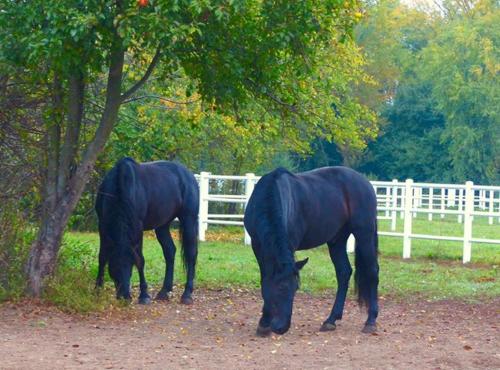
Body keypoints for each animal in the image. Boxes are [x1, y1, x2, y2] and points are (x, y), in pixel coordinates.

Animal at [94, 158, 198, 304]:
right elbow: (102, 257)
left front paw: (144, 295)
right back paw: (164, 291)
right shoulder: (103, 225)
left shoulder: (138, 228)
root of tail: (188, 175)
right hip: (162, 226)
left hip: (189, 220)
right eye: (113, 268)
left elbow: (140, 260)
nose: (124, 297)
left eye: (130, 266)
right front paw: (97, 290)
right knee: (170, 251)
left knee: (191, 254)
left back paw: (187, 294)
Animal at [243, 167, 378, 336]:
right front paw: (264, 324)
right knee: (344, 272)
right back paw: (331, 320)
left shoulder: (290, 243)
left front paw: (264, 323)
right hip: (337, 240)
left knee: (372, 271)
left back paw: (371, 321)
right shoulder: (257, 244)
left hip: (364, 234)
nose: (282, 327)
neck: (269, 195)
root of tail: (366, 183)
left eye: (295, 288)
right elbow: (265, 280)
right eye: (281, 288)